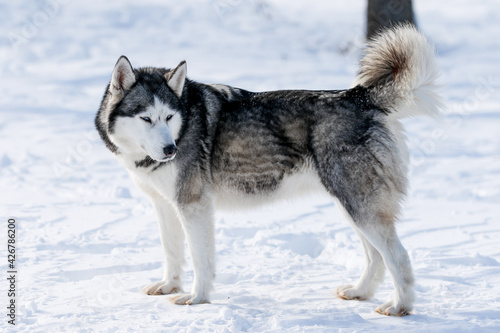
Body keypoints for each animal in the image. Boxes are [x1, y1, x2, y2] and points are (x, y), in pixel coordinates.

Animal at [94, 24, 442, 316]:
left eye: (168, 117)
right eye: (146, 118)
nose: (171, 150)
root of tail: (358, 96)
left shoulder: (194, 206)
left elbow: (200, 259)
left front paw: (197, 298)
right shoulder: (167, 206)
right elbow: (172, 252)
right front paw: (169, 286)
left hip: (359, 206)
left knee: (398, 257)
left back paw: (399, 306)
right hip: (350, 206)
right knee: (376, 258)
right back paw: (360, 292)